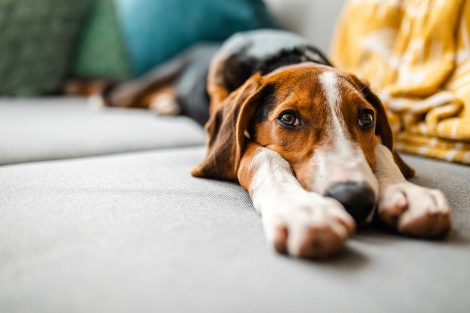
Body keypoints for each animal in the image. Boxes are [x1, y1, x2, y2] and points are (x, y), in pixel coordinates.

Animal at [103, 30, 452, 258]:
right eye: (288, 118)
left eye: (367, 118)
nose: (353, 198)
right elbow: (264, 157)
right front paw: (303, 209)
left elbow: (381, 149)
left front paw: (406, 191)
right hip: (150, 80)